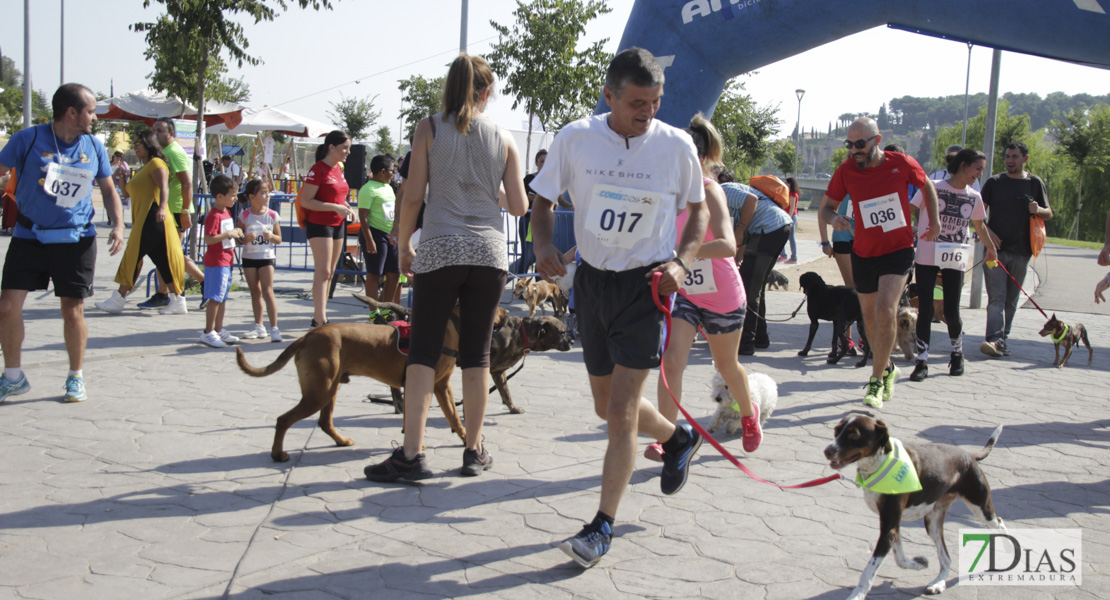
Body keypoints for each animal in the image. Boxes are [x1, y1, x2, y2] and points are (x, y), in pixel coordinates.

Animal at [236, 317, 466, 463]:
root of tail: (308, 336)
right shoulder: (420, 385)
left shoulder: (442, 387)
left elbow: (455, 417)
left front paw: (466, 440)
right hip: (319, 393)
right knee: (283, 420)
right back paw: (278, 454)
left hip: (329, 389)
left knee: (324, 422)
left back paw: (341, 441)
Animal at [825, 414, 1007, 594]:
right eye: (836, 431)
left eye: (853, 434)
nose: (827, 451)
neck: (880, 462)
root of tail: (969, 455)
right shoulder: (893, 525)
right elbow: (900, 559)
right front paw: (918, 564)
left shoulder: (889, 527)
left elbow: (869, 571)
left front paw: (857, 595)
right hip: (933, 523)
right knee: (946, 558)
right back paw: (938, 583)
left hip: (982, 510)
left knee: (1000, 524)